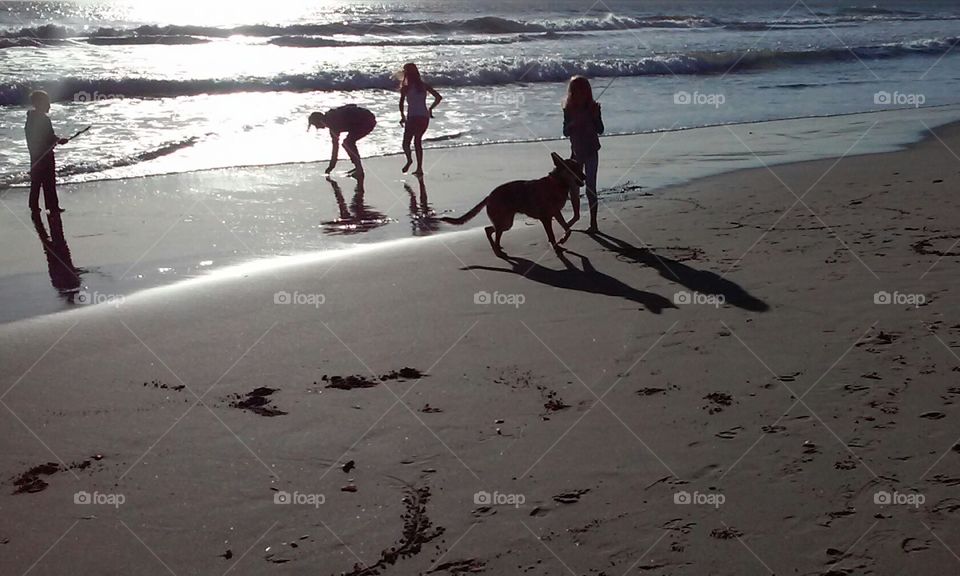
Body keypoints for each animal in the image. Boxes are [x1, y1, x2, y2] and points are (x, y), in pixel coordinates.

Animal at [442, 152, 584, 255]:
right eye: (573, 169)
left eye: (580, 168)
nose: (585, 177)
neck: (557, 183)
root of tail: (489, 196)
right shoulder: (546, 218)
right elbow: (552, 235)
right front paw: (556, 247)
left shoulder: (556, 213)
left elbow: (568, 229)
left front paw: (563, 240)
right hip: (504, 222)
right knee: (492, 231)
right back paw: (498, 250)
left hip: (506, 223)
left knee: (489, 230)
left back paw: (497, 247)